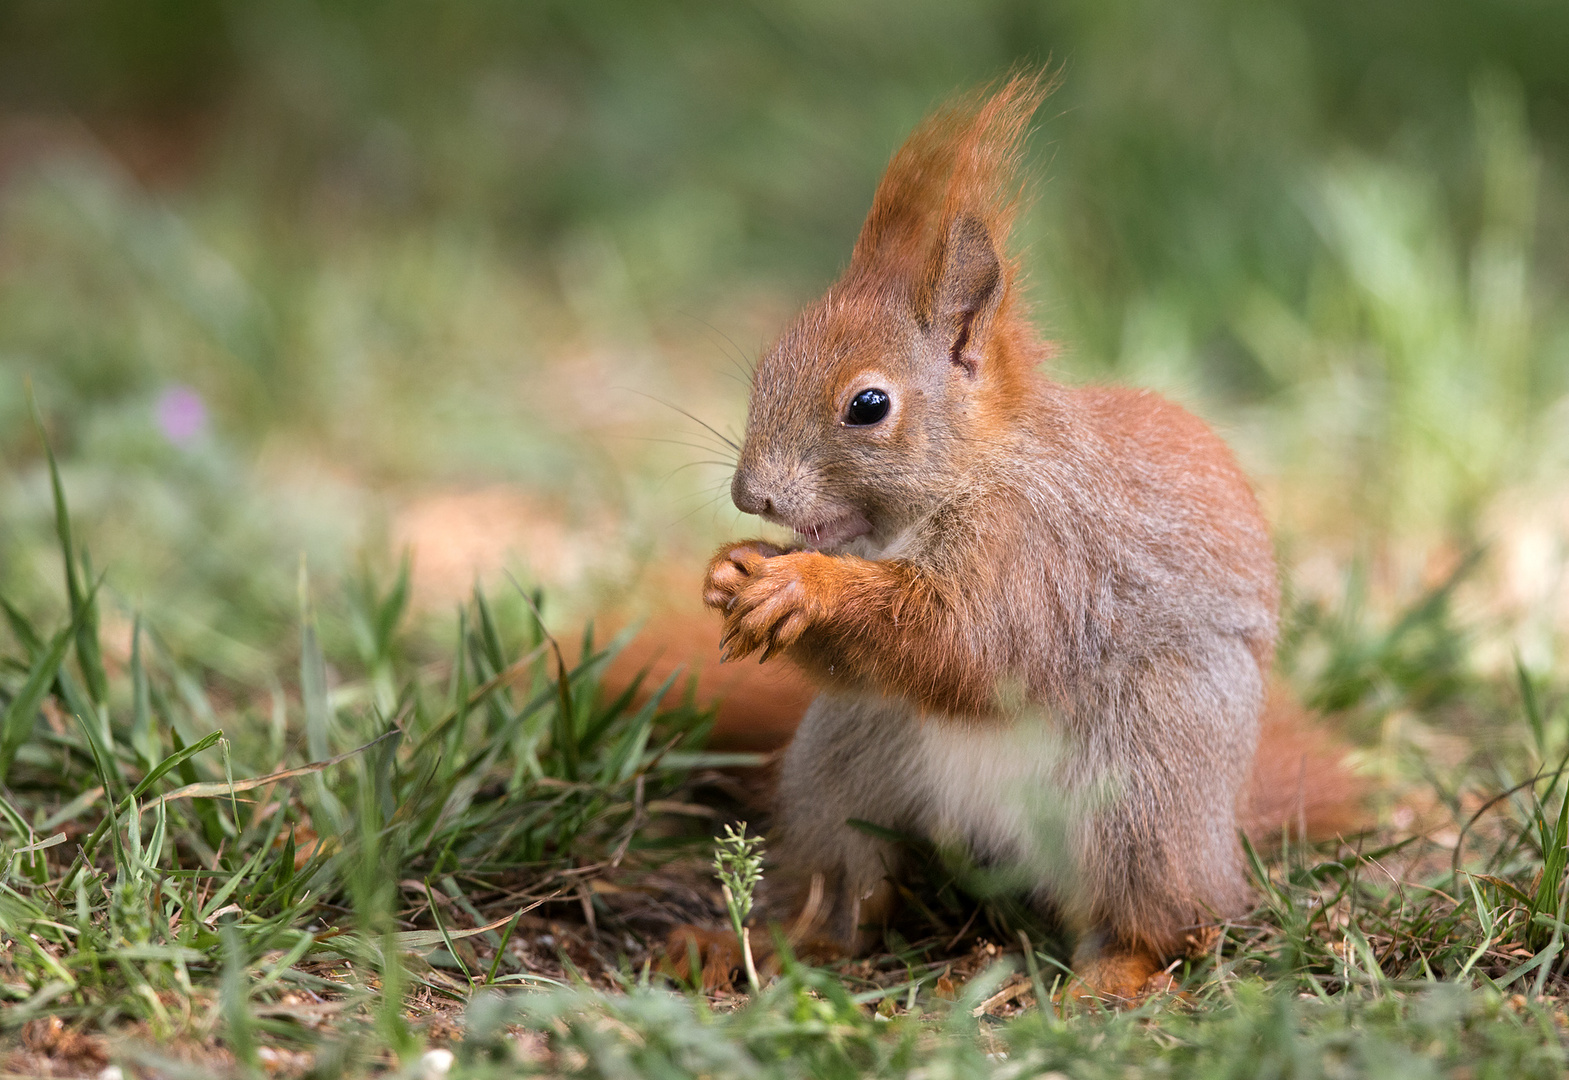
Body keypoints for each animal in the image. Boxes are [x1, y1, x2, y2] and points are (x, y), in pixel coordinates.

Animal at [655, 73, 1355, 1004]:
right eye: (764, 370)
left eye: (868, 405)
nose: (750, 495)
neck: (958, 484)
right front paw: (732, 568)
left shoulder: (1038, 553)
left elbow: (962, 639)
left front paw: (805, 585)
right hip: (842, 766)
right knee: (836, 892)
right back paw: (754, 945)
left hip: (1145, 787)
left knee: (1165, 921)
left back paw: (1112, 976)